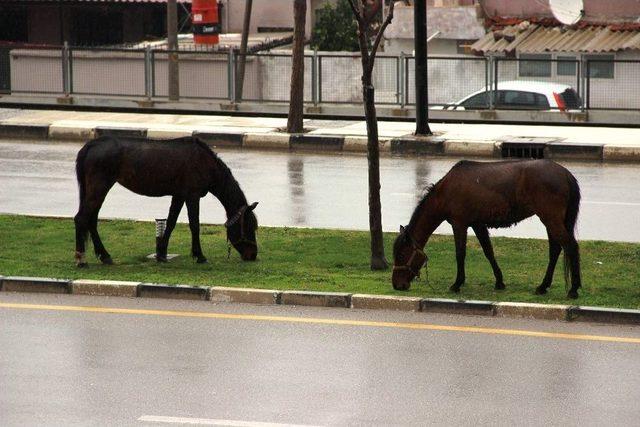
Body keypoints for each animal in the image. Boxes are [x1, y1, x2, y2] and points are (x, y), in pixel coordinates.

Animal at [73, 135, 258, 266]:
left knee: (91, 220)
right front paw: (199, 256)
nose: (253, 255)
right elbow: (194, 225)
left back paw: (104, 256)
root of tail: (90, 145)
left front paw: (161, 254)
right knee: (82, 219)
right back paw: (81, 259)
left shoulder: (179, 195)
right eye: (249, 227)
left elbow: (171, 222)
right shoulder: (192, 196)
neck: (205, 162)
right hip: (99, 188)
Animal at [392, 160, 584, 300]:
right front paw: (499, 281)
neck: (445, 193)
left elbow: (460, 254)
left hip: (550, 218)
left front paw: (457, 283)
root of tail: (566, 174)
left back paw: (573, 289)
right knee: (556, 249)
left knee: (570, 246)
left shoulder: (459, 224)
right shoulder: (478, 224)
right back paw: (543, 286)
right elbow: (488, 251)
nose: (397, 285)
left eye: (401, 254)